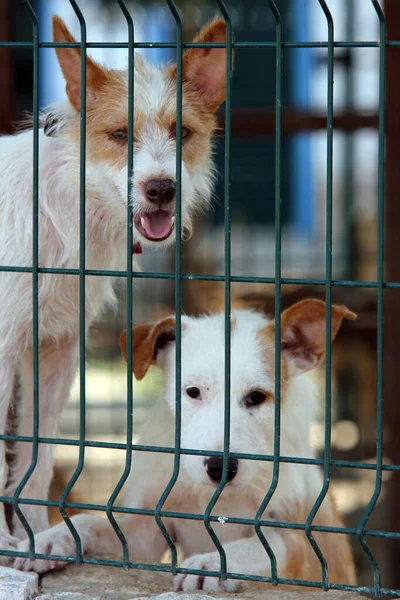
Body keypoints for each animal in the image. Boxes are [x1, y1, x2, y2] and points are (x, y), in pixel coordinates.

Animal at [0, 14, 230, 552]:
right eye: (120, 133)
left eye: (183, 132)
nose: (162, 189)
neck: (68, 202)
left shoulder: (56, 350)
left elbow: (38, 459)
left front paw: (38, 539)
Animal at [14, 300, 356, 592]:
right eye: (192, 391)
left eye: (257, 397)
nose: (220, 468)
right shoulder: (145, 533)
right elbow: (91, 522)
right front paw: (51, 537)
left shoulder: (300, 544)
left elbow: (254, 546)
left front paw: (212, 562)